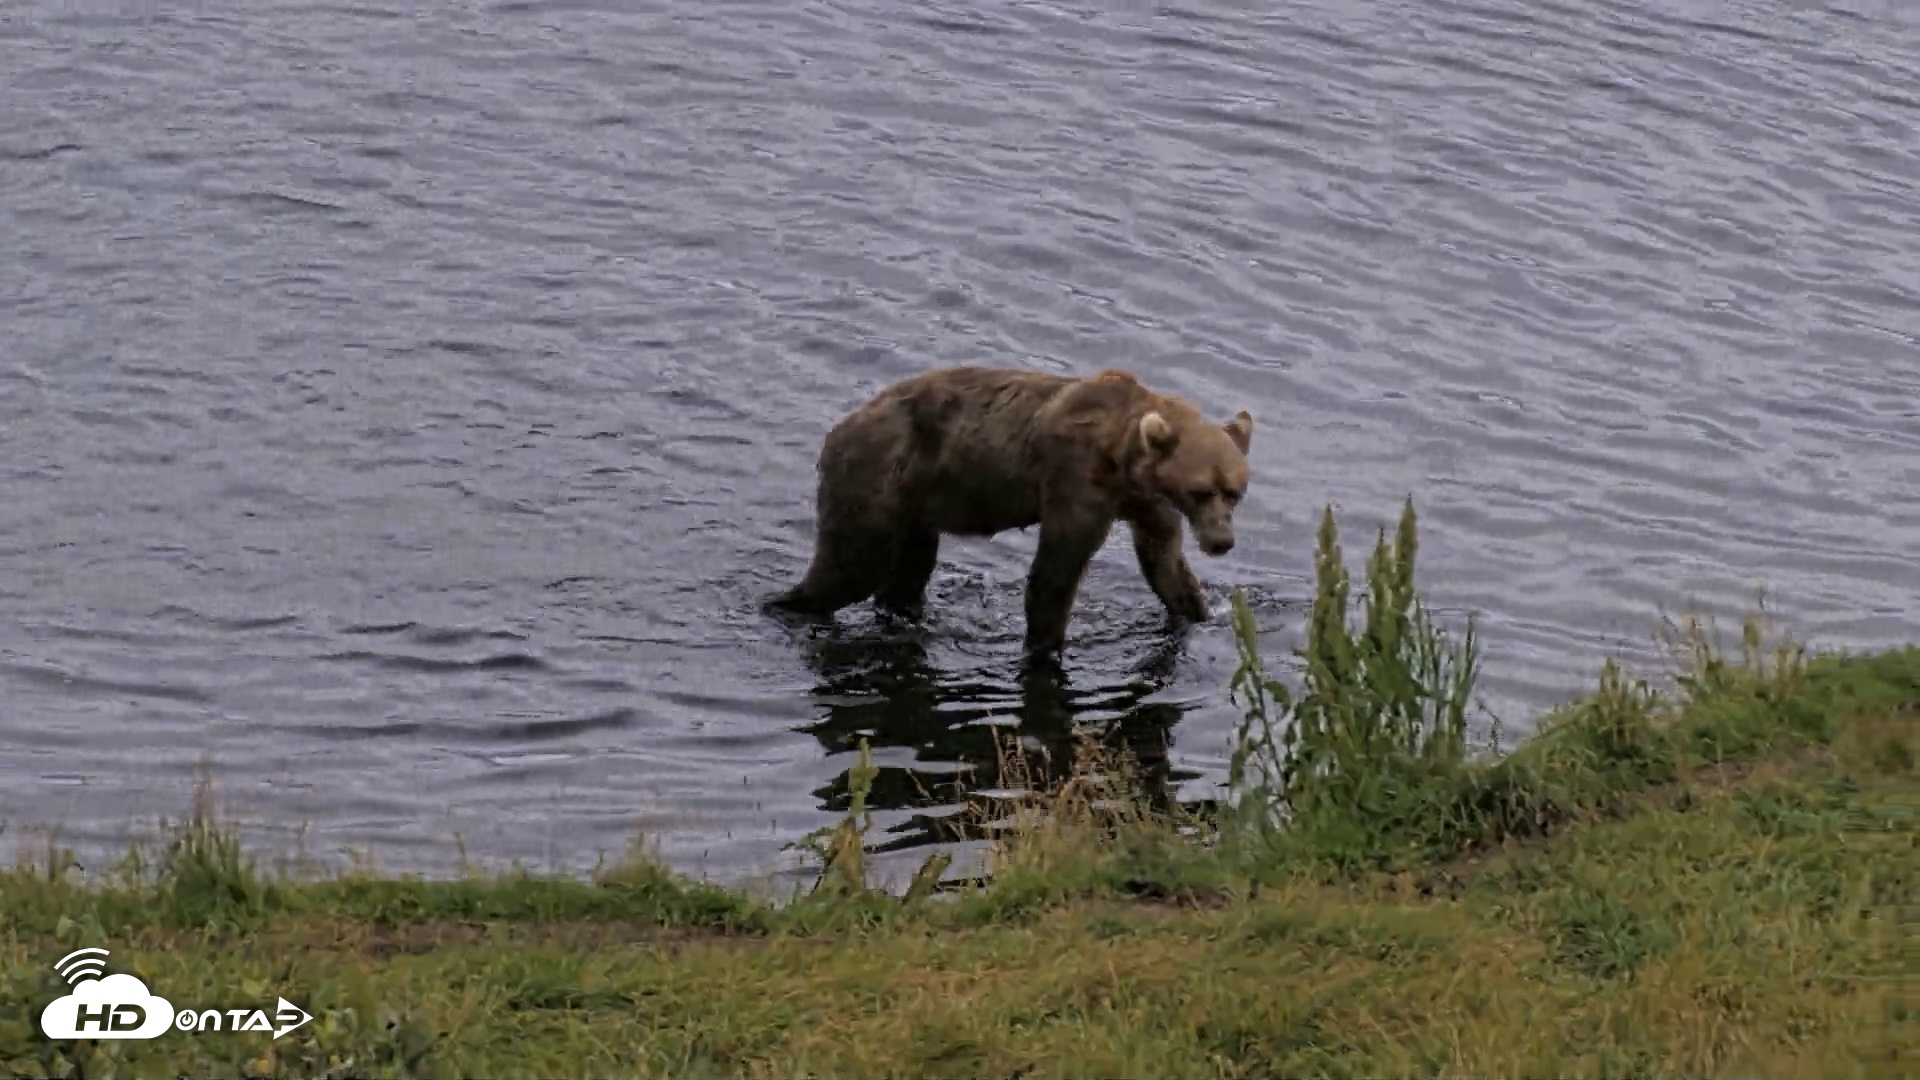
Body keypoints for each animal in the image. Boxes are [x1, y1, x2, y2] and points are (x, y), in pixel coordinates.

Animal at [765, 365, 1257, 657]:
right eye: (1200, 490)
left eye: (1234, 492)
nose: (1222, 542)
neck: (1123, 457)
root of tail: (839, 428)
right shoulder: (1076, 481)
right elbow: (1057, 570)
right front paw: (1046, 645)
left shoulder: (1145, 501)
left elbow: (1164, 562)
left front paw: (1202, 610)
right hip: (877, 479)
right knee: (849, 565)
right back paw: (787, 605)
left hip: (916, 505)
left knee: (909, 569)